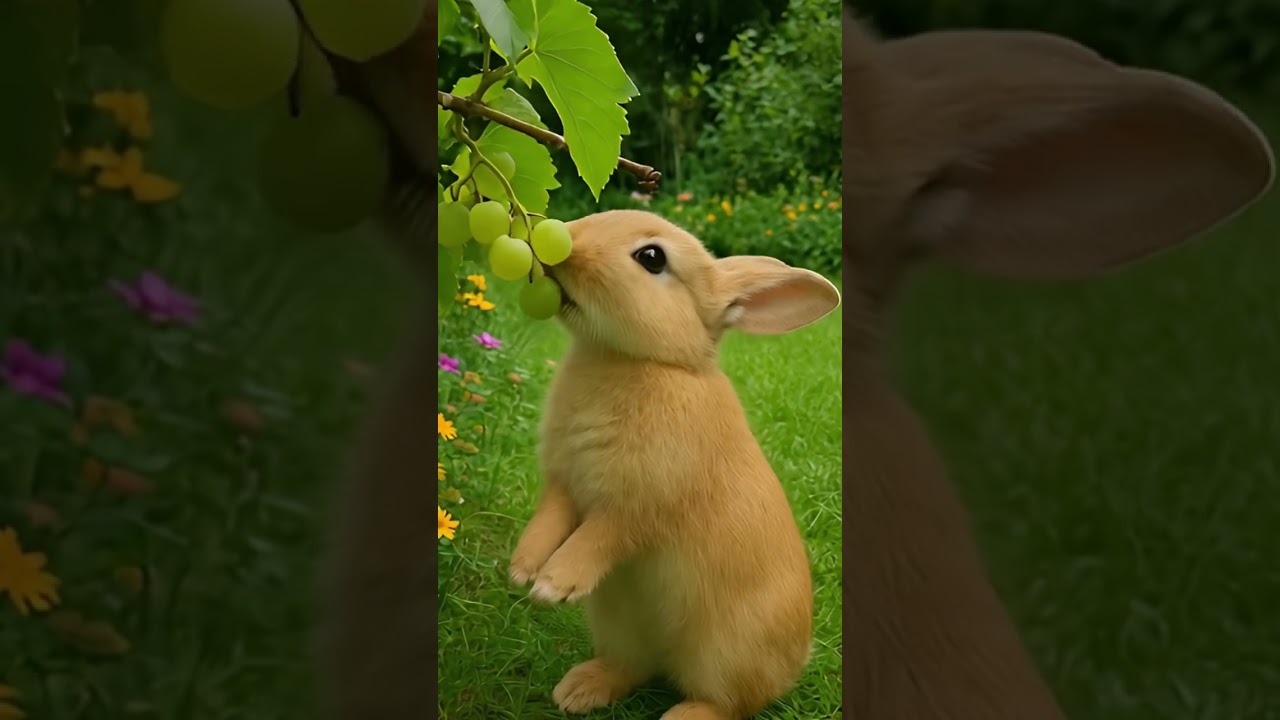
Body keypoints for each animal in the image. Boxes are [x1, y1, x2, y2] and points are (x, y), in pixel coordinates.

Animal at [506, 209, 841, 720]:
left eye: (652, 258)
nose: (564, 245)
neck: (645, 361)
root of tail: (794, 664)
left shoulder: (640, 505)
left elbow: (599, 538)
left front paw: (553, 585)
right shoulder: (565, 484)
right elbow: (549, 520)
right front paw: (523, 568)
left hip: (725, 653)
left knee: (731, 701)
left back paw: (681, 715)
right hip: (619, 622)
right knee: (634, 665)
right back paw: (578, 690)